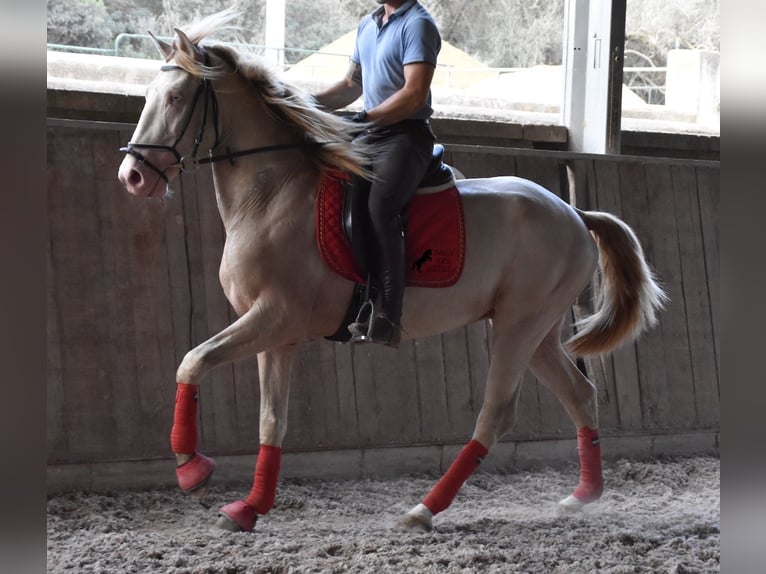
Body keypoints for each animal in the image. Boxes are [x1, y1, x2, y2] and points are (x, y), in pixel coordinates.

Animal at [117, 11, 668, 536]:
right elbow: (271, 421)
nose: (133, 176)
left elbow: (191, 361)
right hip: (538, 332)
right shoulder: (278, 334)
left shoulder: (275, 317)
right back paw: (581, 497)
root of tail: (574, 213)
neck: (272, 194)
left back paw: (423, 511)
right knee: (580, 395)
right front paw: (249, 508)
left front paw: (191, 469)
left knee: (496, 414)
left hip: (519, 326)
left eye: (176, 98)